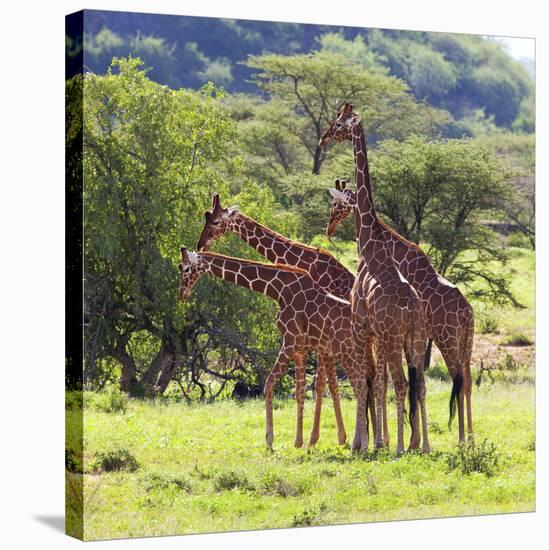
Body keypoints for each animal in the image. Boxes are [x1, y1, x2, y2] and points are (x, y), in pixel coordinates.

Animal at [178, 248, 374, 450]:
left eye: (185, 268)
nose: (182, 294)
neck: (279, 290)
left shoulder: (289, 342)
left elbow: (269, 383)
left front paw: (270, 441)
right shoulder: (299, 349)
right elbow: (300, 392)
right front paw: (299, 441)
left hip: (346, 352)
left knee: (361, 386)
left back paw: (361, 444)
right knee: (363, 386)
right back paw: (359, 443)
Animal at [197, 194, 386, 448]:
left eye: (216, 222)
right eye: (206, 218)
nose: (200, 244)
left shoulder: (319, 337)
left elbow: (323, 383)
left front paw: (321, 438)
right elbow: (323, 383)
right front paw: (325, 437)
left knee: (376, 377)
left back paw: (378, 438)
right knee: (375, 377)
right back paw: (378, 437)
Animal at [318, 103, 430, 458]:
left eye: (339, 123)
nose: (323, 138)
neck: (370, 245)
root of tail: (412, 310)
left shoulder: (360, 324)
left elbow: (363, 381)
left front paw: (362, 443)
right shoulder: (376, 333)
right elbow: (374, 382)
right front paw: (375, 441)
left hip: (394, 339)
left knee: (400, 383)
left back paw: (399, 448)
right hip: (415, 339)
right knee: (419, 385)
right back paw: (423, 446)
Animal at [324, 178, 474, 444]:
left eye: (335, 203)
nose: (329, 228)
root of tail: (468, 313)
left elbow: (389, 380)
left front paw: (395, 438)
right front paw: (406, 437)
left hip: (447, 340)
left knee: (458, 378)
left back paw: (461, 440)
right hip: (466, 343)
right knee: (467, 381)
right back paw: (470, 438)